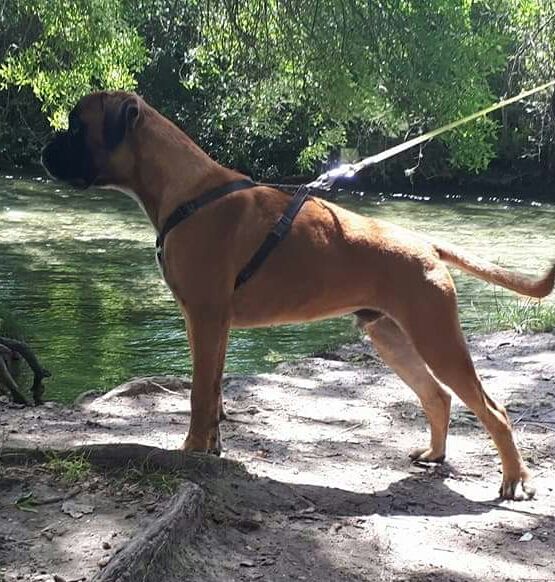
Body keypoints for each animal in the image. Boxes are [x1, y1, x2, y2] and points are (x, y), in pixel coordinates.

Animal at [42, 91, 555, 501]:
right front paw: (211, 448)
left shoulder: (203, 319)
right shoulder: (214, 327)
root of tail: (426, 245)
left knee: (493, 410)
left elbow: (199, 396)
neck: (187, 191)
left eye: (76, 125)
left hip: (436, 339)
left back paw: (514, 480)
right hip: (393, 338)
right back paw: (435, 454)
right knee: (438, 396)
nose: (47, 150)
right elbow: (213, 391)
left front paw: (191, 452)